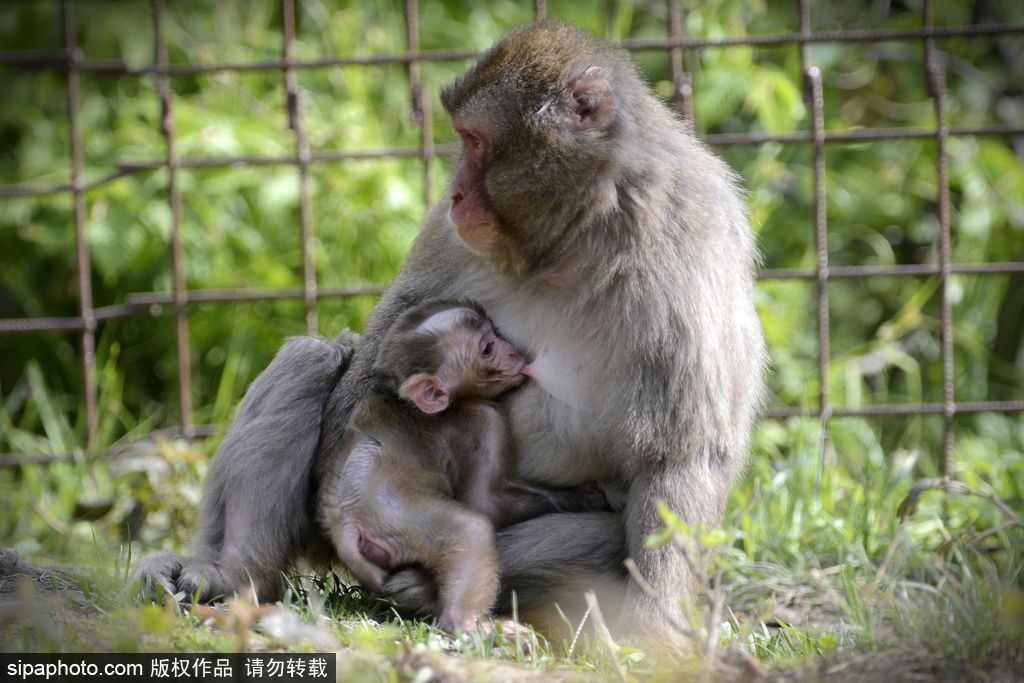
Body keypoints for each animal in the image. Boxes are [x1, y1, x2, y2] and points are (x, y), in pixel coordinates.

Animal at [317, 301, 606, 634]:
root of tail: (346, 525)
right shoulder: (482, 418)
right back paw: (467, 623)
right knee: (471, 530)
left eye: (495, 332)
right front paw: (588, 497)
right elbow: (486, 502)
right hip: (400, 521)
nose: (512, 351)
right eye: (488, 349)